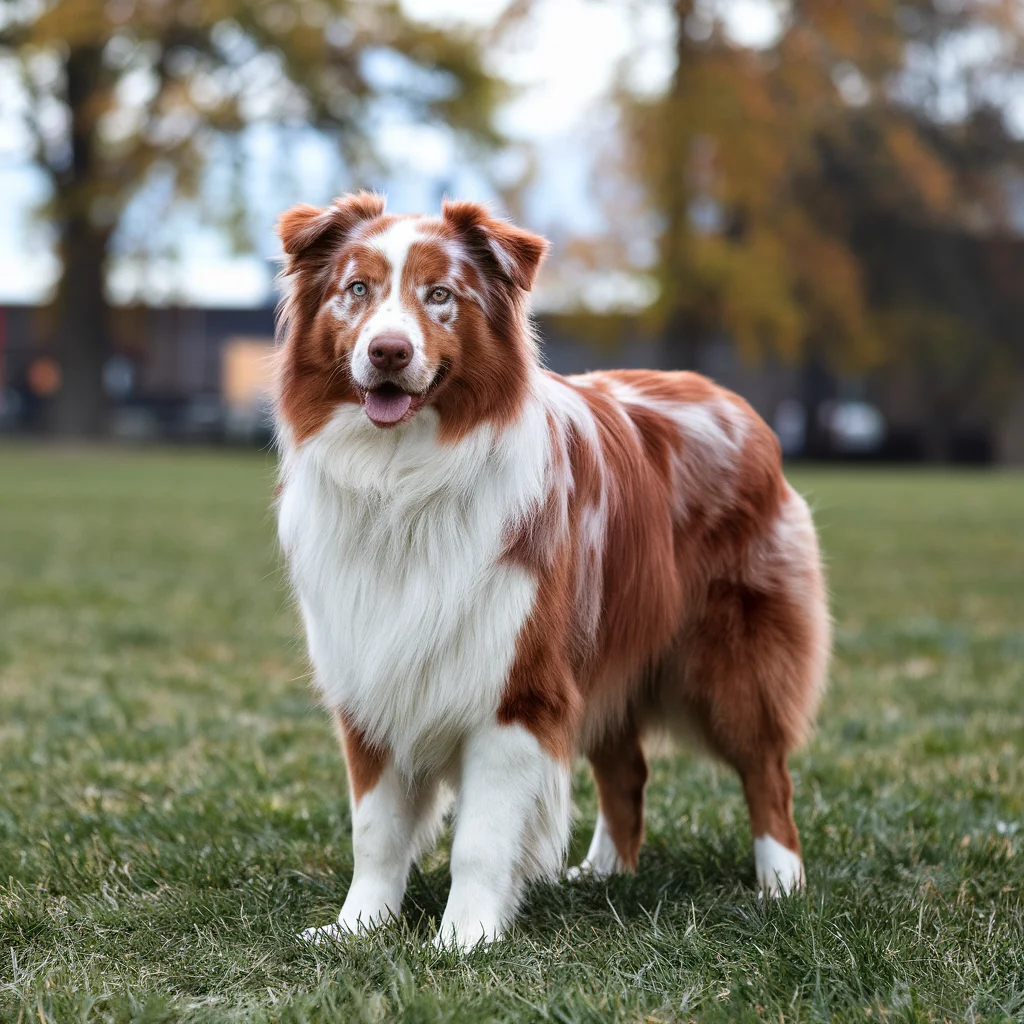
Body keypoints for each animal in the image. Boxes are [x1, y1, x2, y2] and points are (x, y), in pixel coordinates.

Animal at [274, 193, 831, 950]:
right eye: (356, 290)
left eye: (440, 294)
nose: (388, 350)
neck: (402, 482)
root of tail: (733, 401)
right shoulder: (370, 676)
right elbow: (376, 832)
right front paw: (359, 927)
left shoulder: (517, 688)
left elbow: (479, 840)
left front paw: (463, 940)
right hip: (604, 649)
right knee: (628, 770)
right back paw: (602, 875)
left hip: (735, 657)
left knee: (767, 772)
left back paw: (782, 888)